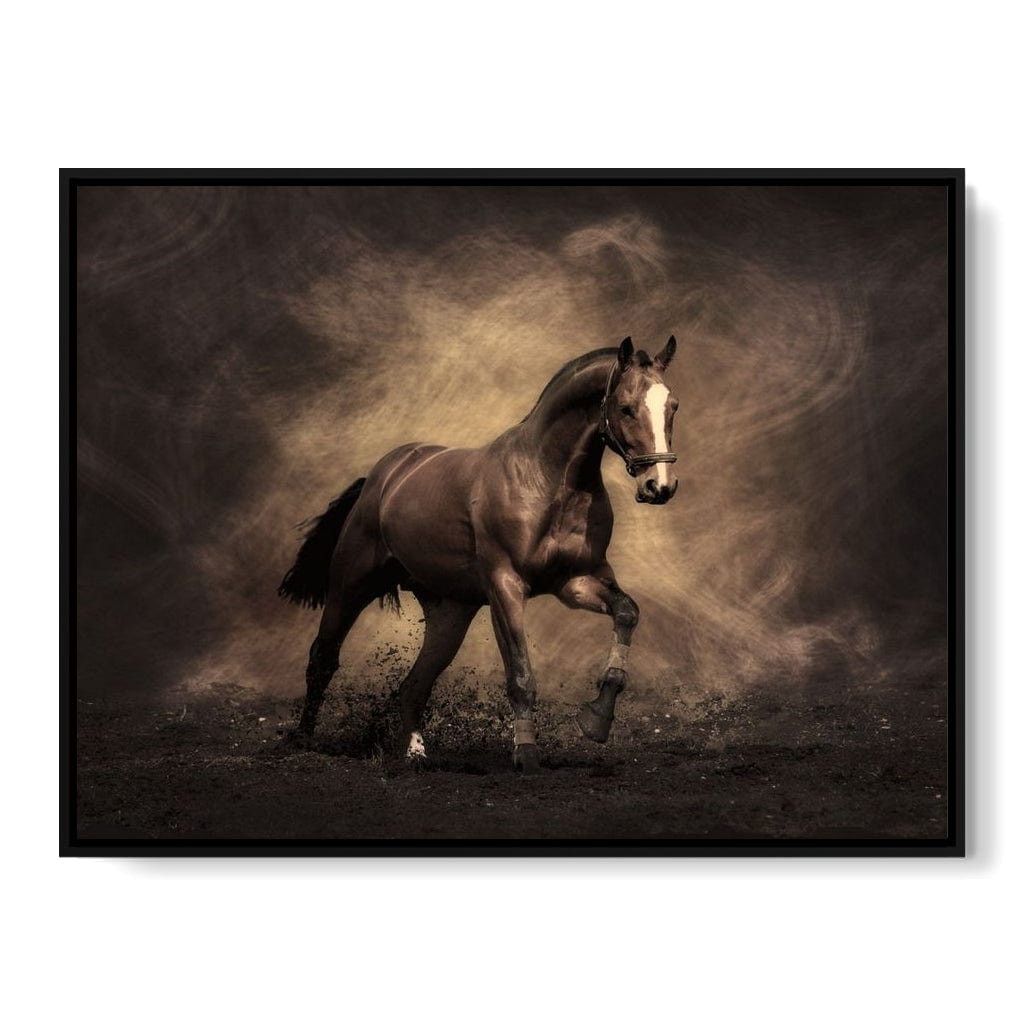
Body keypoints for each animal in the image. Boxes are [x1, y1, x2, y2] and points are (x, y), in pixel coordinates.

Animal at [278, 335, 679, 771]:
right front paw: (527, 755)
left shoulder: (576, 581)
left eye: (672, 406)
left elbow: (627, 613)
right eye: (625, 408)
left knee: (415, 684)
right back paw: (302, 739)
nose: (660, 486)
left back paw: (414, 754)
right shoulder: (505, 587)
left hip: (450, 613)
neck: (548, 481)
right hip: (350, 585)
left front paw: (596, 720)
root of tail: (383, 477)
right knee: (323, 659)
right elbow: (520, 675)